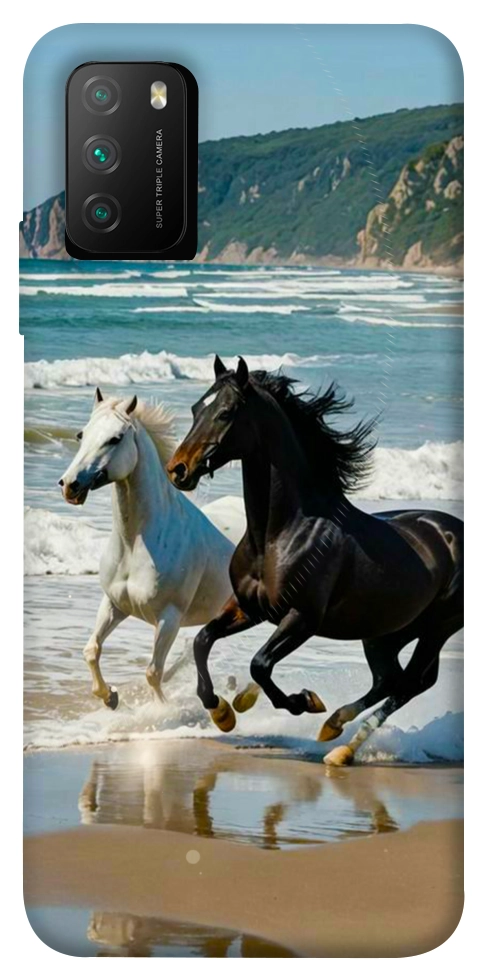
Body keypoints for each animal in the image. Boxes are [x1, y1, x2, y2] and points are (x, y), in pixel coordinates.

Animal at [59, 388, 234, 709]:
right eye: (81, 434)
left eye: (115, 438)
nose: (69, 485)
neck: (135, 544)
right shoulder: (114, 604)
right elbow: (91, 650)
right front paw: (110, 697)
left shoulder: (169, 618)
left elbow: (153, 672)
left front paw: (161, 711)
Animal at [166, 356, 463, 765]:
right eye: (197, 408)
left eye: (225, 412)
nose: (177, 469)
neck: (280, 534)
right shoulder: (248, 608)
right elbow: (202, 640)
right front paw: (223, 711)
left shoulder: (302, 618)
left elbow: (260, 664)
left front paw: (302, 701)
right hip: (386, 632)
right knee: (390, 679)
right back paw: (334, 729)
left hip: (437, 628)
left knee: (410, 683)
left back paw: (341, 746)